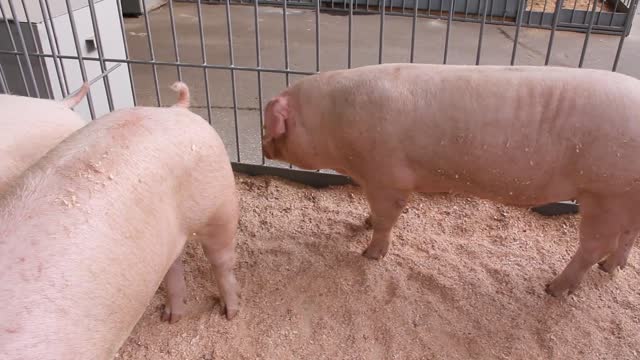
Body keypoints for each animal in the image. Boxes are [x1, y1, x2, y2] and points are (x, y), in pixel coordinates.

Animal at [0, 82, 240, 360]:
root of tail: (176, 109)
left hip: (218, 201)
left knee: (221, 261)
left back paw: (230, 313)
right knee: (175, 265)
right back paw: (171, 317)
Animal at [260, 64, 640, 298]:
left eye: (271, 123)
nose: (262, 145)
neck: (332, 124)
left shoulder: (388, 175)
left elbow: (387, 217)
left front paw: (369, 254)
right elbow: (373, 212)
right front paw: (363, 222)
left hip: (606, 191)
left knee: (596, 244)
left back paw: (554, 289)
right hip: (628, 195)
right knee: (627, 235)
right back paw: (611, 269)